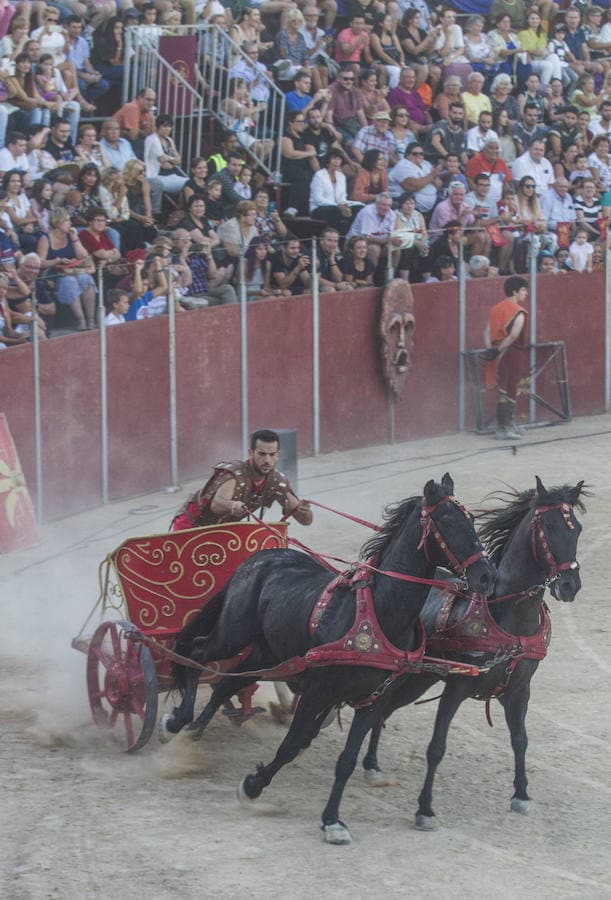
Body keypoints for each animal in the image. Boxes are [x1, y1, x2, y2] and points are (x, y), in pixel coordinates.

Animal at [160, 474, 494, 840]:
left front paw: (332, 820)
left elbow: (346, 760)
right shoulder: (318, 691)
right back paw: (177, 721)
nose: (487, 576)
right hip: (234, 633)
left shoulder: (371, 701)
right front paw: (252, 786)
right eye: (447, 520)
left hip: (268, 652)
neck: (381, 614)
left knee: (227, 684)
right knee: (197, 654)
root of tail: (262, 557)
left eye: (472, 520)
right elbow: (291, 744)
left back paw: (194, 730)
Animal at [354, 474, 588, 832]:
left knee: (383, 711)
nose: (569, 586)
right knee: (378, 710)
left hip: (416, 680)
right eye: (547, 525)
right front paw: (425, 809)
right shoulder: (456, 687)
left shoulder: (519, 690)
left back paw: (371, 763)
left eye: (576, 528)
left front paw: (521, 795)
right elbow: (436, 747)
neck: (507, 615)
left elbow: (520, 740)